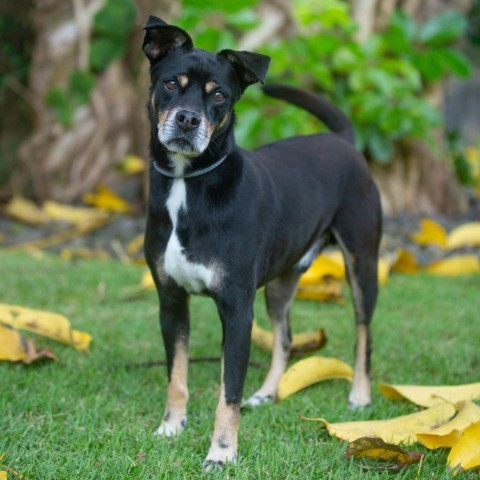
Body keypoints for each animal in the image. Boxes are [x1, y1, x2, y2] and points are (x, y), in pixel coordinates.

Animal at [142, 14, 382, 468]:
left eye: (219, 95)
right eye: (169, 84)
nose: (187, 120)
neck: (188, 184)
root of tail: (342, 139)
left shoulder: (237, 310)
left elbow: (228, 393)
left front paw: (221, 453)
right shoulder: (170, 301)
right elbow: (176, 375)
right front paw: (170, 426)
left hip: (362, 263)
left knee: (363, 333)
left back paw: (360, 395)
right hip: (281, 281)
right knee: (285, 338)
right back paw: (268, 393)